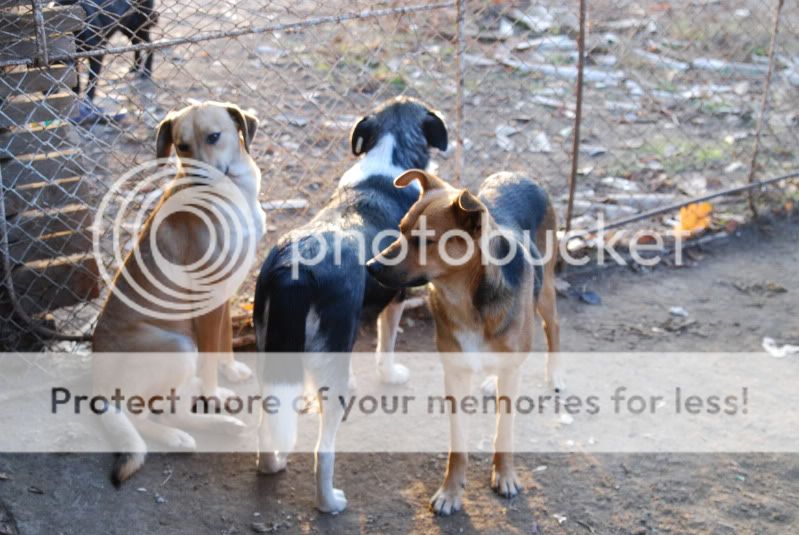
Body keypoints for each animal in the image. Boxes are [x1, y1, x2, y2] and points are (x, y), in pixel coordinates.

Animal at [90, 100, 266, 486]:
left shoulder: (226, 292)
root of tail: (98, 388)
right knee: (144, 414)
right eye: (182, 146)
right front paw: (215, 394)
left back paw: (219, 425)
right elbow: (212, 356)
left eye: (214, 137)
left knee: (167, 408)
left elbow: (225, 340)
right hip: (179, 346)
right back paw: (180, 435)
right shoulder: (208, 296)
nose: (200, 176)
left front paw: (232, 371)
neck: (234, 194)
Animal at [253, 97, 446, 516]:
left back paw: (273, 464)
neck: (388, 155)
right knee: (322, 452)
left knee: (268, 426)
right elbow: (386, 345)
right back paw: (329, 502)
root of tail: (296, 269)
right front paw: (390, 374)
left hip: (267, 347)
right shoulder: (395, 300)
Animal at [368, 170, 564, 516]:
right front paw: (451, 492)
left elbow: (504, 432)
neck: (465, 299)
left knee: (552, 325)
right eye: (401, 229)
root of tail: (518, 174)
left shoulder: (510, 372)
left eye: (423, 240)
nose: (370, 266)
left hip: (546, 289)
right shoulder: (455, 374)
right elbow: (457, 444)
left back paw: (553, 374)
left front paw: (505, 475)